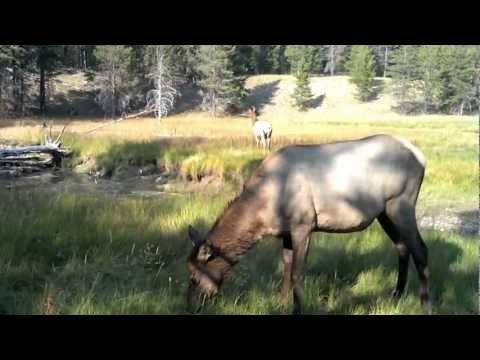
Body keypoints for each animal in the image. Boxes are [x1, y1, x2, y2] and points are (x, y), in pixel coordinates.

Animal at [186, 134, 430, 314]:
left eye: (194, 278)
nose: (189, 306)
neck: (263, 212)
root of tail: (421, 157)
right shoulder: (285, 232)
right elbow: (285, 267)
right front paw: (281, 303)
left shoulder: (303, 224)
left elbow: (297, 273)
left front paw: (297, 309)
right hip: (384, 213)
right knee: (402, 247)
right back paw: (396, 295)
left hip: (401, 203)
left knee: (421, 250)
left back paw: (425, 304)